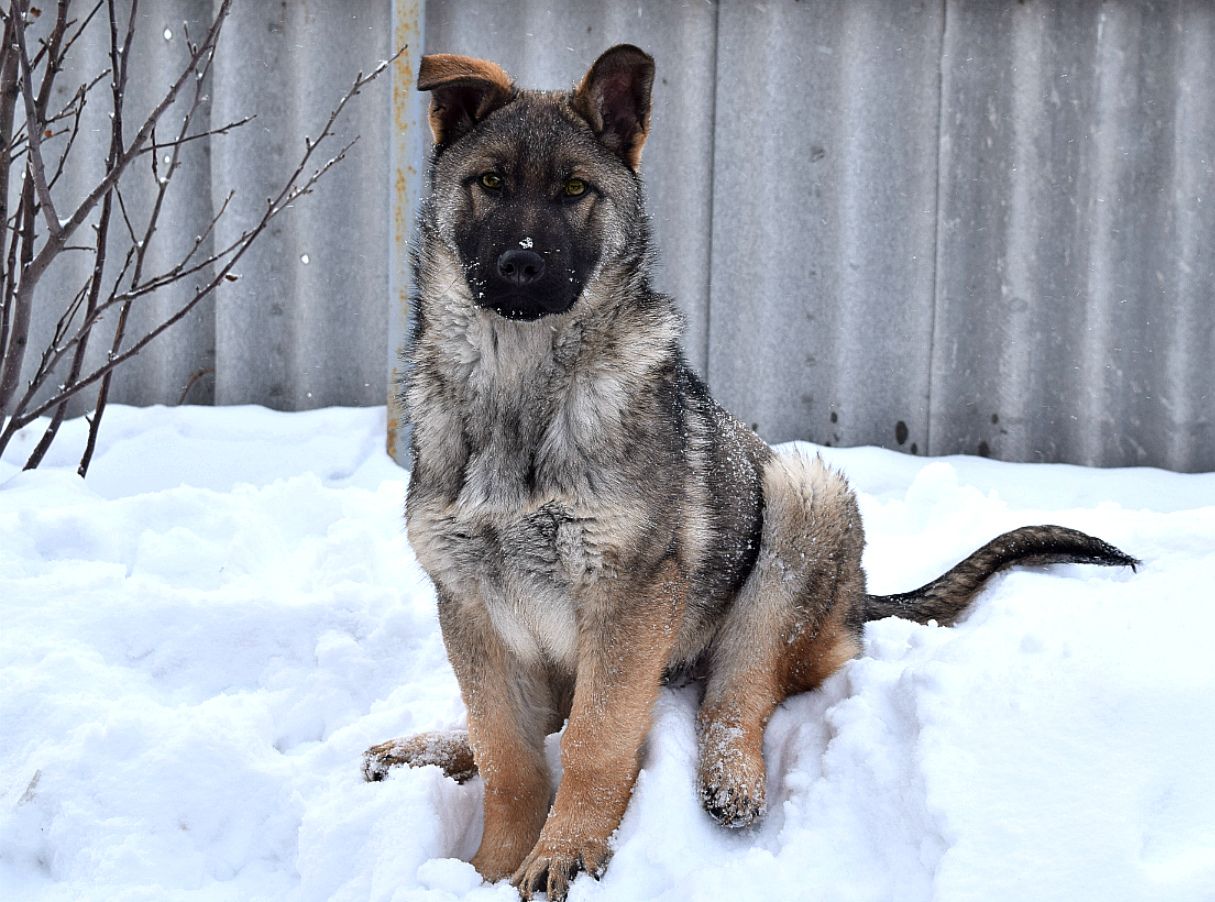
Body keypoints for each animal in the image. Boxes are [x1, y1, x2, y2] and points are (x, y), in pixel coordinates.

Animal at [362, 45, 1137, 899]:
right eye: (490, 182)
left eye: (573, 191)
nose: (519, 267)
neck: (518, 391)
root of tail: (858, 599)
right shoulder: (467, 602)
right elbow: (507, 750)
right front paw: (491, 867)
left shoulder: (630, 597)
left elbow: (598, 741)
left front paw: (564, 851)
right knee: (540, 719)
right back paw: (426, 746)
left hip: (800, 503)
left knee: (737, 690)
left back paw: (731, 777)